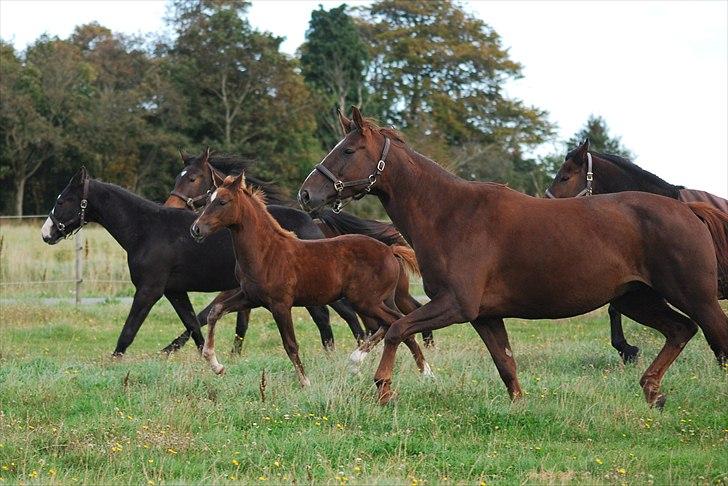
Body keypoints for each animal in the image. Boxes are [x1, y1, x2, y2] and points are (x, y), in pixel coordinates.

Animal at [41, 169, 364, 356]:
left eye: (62, 201)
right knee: (329, 317)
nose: (46, 233)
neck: (146, 229)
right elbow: (193, 327)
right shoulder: (174, 291)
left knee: (338, 316)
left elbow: (129, 330)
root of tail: (313, 221)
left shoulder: (149, 289)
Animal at [161, 148, 432, 346]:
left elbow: (204, 315)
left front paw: (171, 349)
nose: (170, 207)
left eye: (193, 178)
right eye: (177, 178)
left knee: (366, 315)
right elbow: (237, 322)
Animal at [189, 173, 432, 386]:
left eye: (222, 201)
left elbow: (290, 345)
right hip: (380, 300)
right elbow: (215, 311)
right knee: (390, 324)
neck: (266, 252)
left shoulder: (280, 305)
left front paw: (305, 382)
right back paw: (368, 364)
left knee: (395, 321)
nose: (196, 229)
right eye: (208, 199)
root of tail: (390, 251)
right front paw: (216, 365)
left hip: (366, 301)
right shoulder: (251, 297)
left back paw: (423, 371)